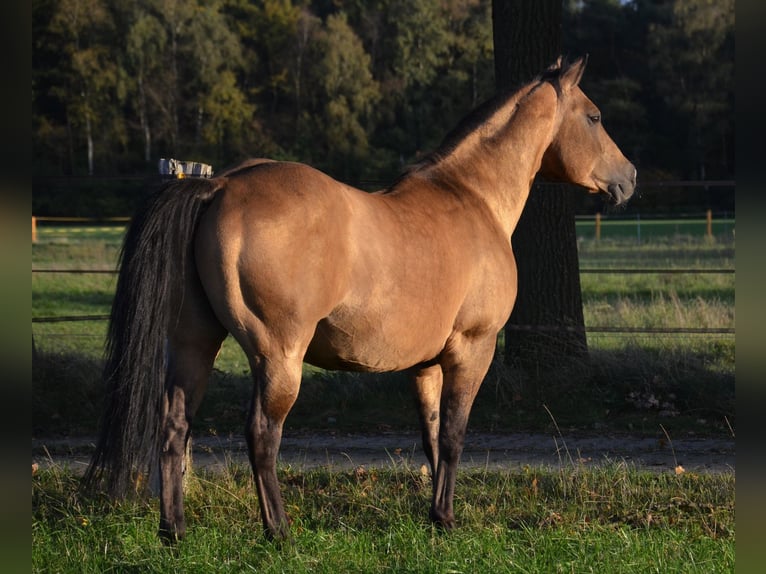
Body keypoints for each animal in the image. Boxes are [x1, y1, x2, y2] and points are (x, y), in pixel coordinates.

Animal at [83, 56, 636, 541]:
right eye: (594, 116)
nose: (629, 178)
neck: (472, 198)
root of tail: (219, 186)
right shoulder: (472, 349)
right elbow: (454, 436)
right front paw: (448, 520)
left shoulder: (425, 365)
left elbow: (431, 437)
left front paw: (434, 517)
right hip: (278, 357)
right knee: (262, 435)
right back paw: (279, 531)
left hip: (194, 343)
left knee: (174, 427)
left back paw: (173, 531)